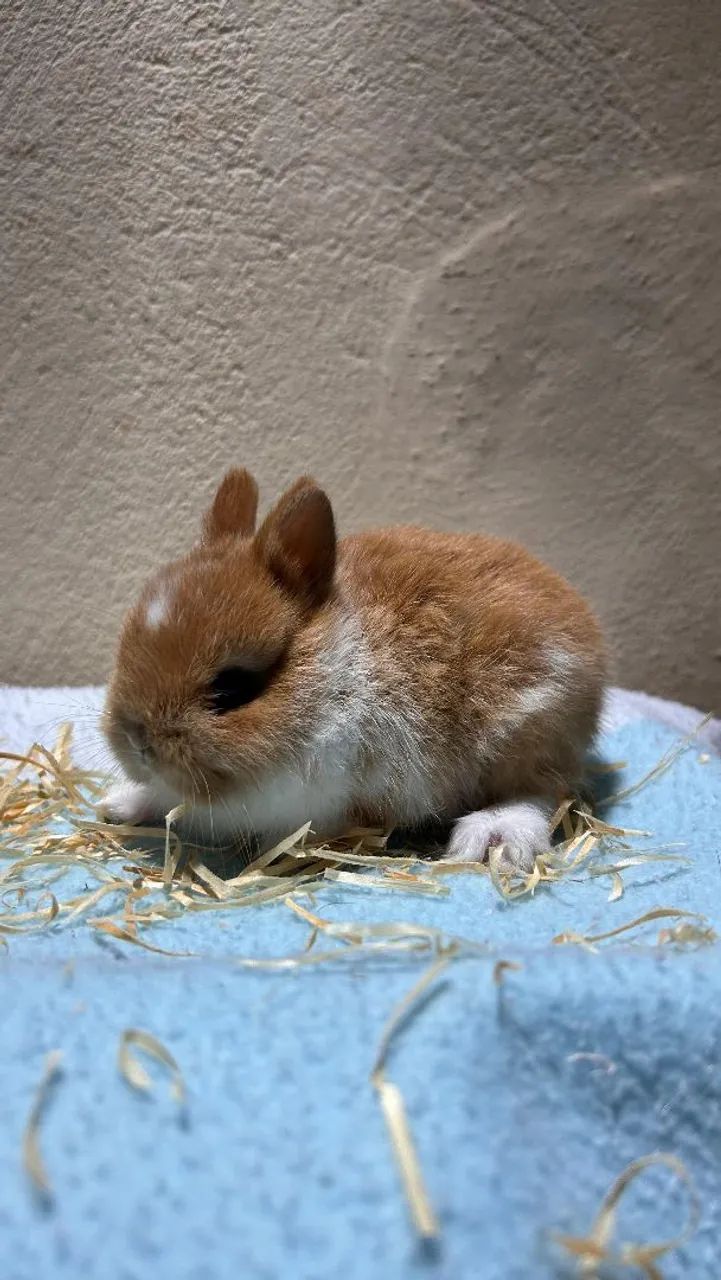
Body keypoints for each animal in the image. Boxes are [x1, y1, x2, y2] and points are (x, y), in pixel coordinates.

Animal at [101, 468, 607, 871]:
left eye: (233, 686)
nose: (139, 743)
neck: (338, 678)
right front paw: (119, 805)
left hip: (529, 728)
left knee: (543, 790)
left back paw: (492, 838)